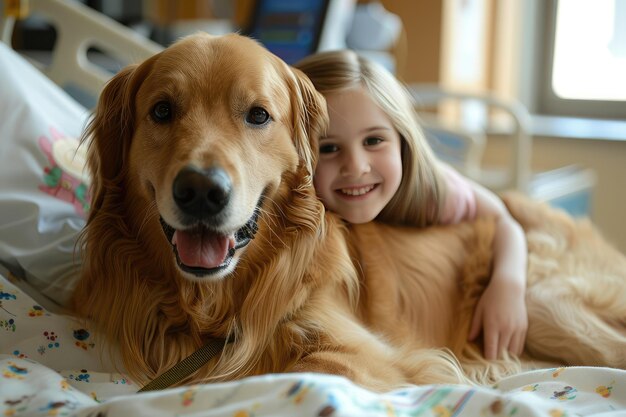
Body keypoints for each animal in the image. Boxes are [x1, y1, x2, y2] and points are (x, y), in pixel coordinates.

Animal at [73, 32, 624, 390]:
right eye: (162, 110)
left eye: (258, 115)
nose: (202, 191)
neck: (217, 305)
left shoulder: (379, 359)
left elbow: (304, 373)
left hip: (542, 299)